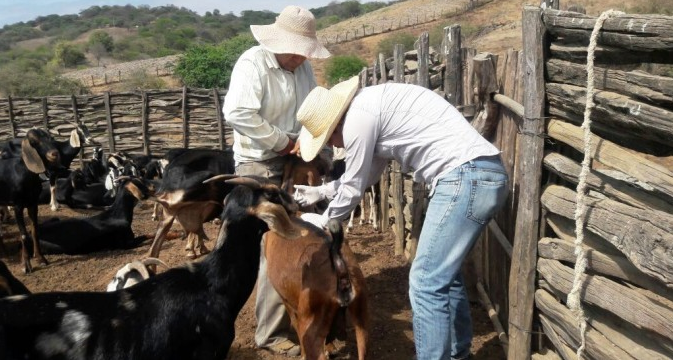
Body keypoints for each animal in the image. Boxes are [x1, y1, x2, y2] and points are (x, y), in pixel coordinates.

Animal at [0, 129, 60, 272]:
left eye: (50, 138)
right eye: (34, 142)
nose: (54, 153)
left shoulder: (33, 204)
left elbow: (34, 231)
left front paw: (41, 258)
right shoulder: (17, 206)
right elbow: (23, 235)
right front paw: (26, 265)